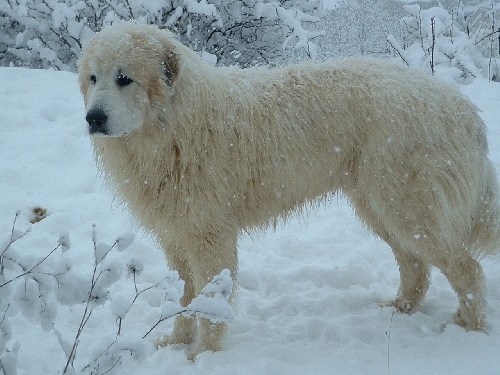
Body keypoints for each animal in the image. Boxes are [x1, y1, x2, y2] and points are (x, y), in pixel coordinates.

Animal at [78, 22, 500, 358]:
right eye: (94, 79)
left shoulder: (208, 236)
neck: (173, 126)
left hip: (407, 205)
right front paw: (176, 343)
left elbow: (209, 300)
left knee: (466, 268)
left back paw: (468, 327)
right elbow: (184, 297)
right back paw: (401, 307)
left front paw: (204, 355)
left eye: (124, 78)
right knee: (416, 264)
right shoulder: (177, 236)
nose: (93, 118)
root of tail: (463, 108)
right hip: (379, 206)